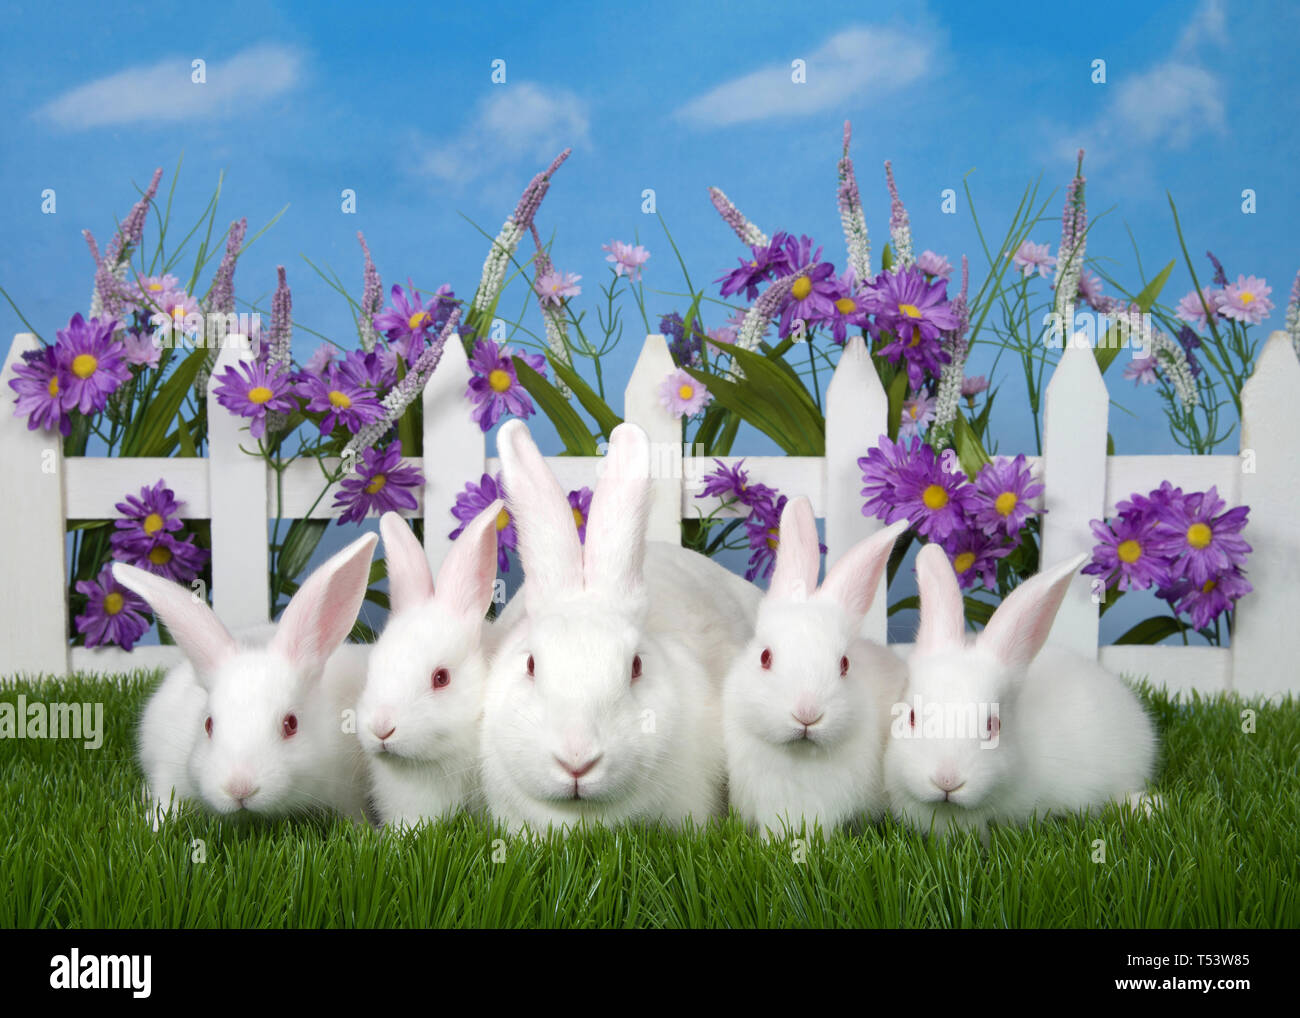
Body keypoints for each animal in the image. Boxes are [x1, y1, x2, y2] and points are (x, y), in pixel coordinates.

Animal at [117, 533, 379, 826]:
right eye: (208, 725)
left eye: (291, 724)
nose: (239, 788)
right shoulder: (167, 769)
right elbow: (164, 801)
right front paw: (154, 825)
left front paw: (366, 830)